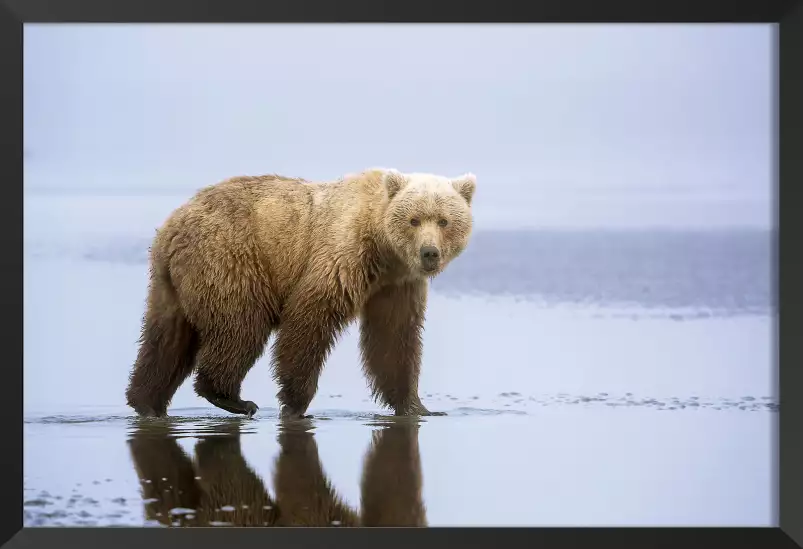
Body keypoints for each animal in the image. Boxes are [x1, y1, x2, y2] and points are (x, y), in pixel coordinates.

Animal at [124, 165, 478, 418]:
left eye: (444, 220)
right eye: (414, 219)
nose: (429, 253)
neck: (383, 250)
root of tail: (172, 225)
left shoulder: (396, 286)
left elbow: (395, 339)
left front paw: (419, 406)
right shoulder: (342, 256)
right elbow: (309, 320)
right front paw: (295, 403)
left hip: (171, 284)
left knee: (165, 339)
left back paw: (146, 401)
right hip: (230, 259)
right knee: (241, 327)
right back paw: (233, 398)